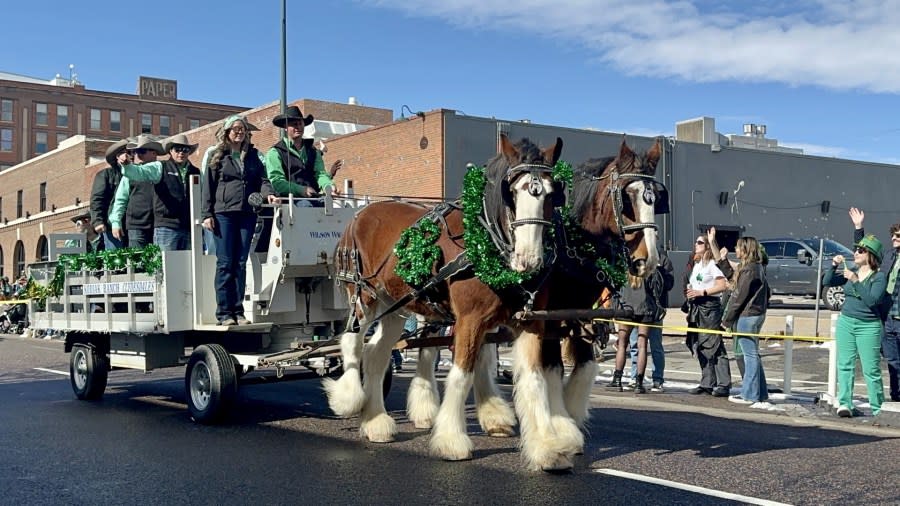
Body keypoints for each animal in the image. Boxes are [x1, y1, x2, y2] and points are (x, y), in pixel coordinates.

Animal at [322, 133, 564, 466]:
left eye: (552, 194)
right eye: (512, 192)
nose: (528, 260)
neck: (486, 242)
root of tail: (360, 214)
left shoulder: (529, 324)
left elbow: (532, 380)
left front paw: (546, 446)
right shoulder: (469, 320)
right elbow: (461, 375)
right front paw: (451, 439)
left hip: (394, 307)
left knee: (376, 354)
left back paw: (375, 422)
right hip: (363, 296)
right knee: (352, 342)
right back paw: (349, 398)